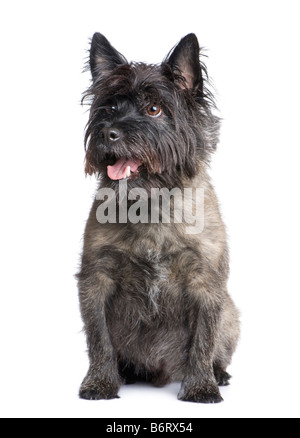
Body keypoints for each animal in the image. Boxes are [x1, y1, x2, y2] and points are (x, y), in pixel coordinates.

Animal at [77, 31, 239, 404]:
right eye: (109, 107)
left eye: (154, 109)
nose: (108, 133)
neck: (151, 203)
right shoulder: (96, 280)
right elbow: (99, 338)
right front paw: (100, 383)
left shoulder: (206, 285)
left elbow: (203, 339)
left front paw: (200, 387)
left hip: (232, 315)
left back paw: (218, 374)